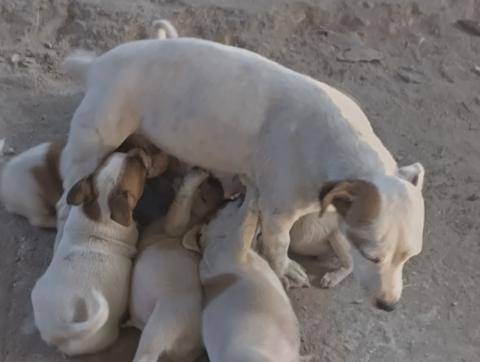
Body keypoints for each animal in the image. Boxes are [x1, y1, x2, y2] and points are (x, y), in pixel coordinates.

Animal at [59, 38, 424, 306]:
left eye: (410, 256)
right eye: (371, 256)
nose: (389, 305)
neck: (334, 144)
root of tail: (97, 65)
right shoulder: (279, 214)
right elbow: (279, 247)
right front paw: (286, 271)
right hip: (92, 143)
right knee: (68, 192)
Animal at [129, 169, 223, 362]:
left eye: (203, 195)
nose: (216, 180)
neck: (198, 216)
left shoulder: (176, 226)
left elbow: (179, 208)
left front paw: (194, 178)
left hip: (162, 323)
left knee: (147, 354)